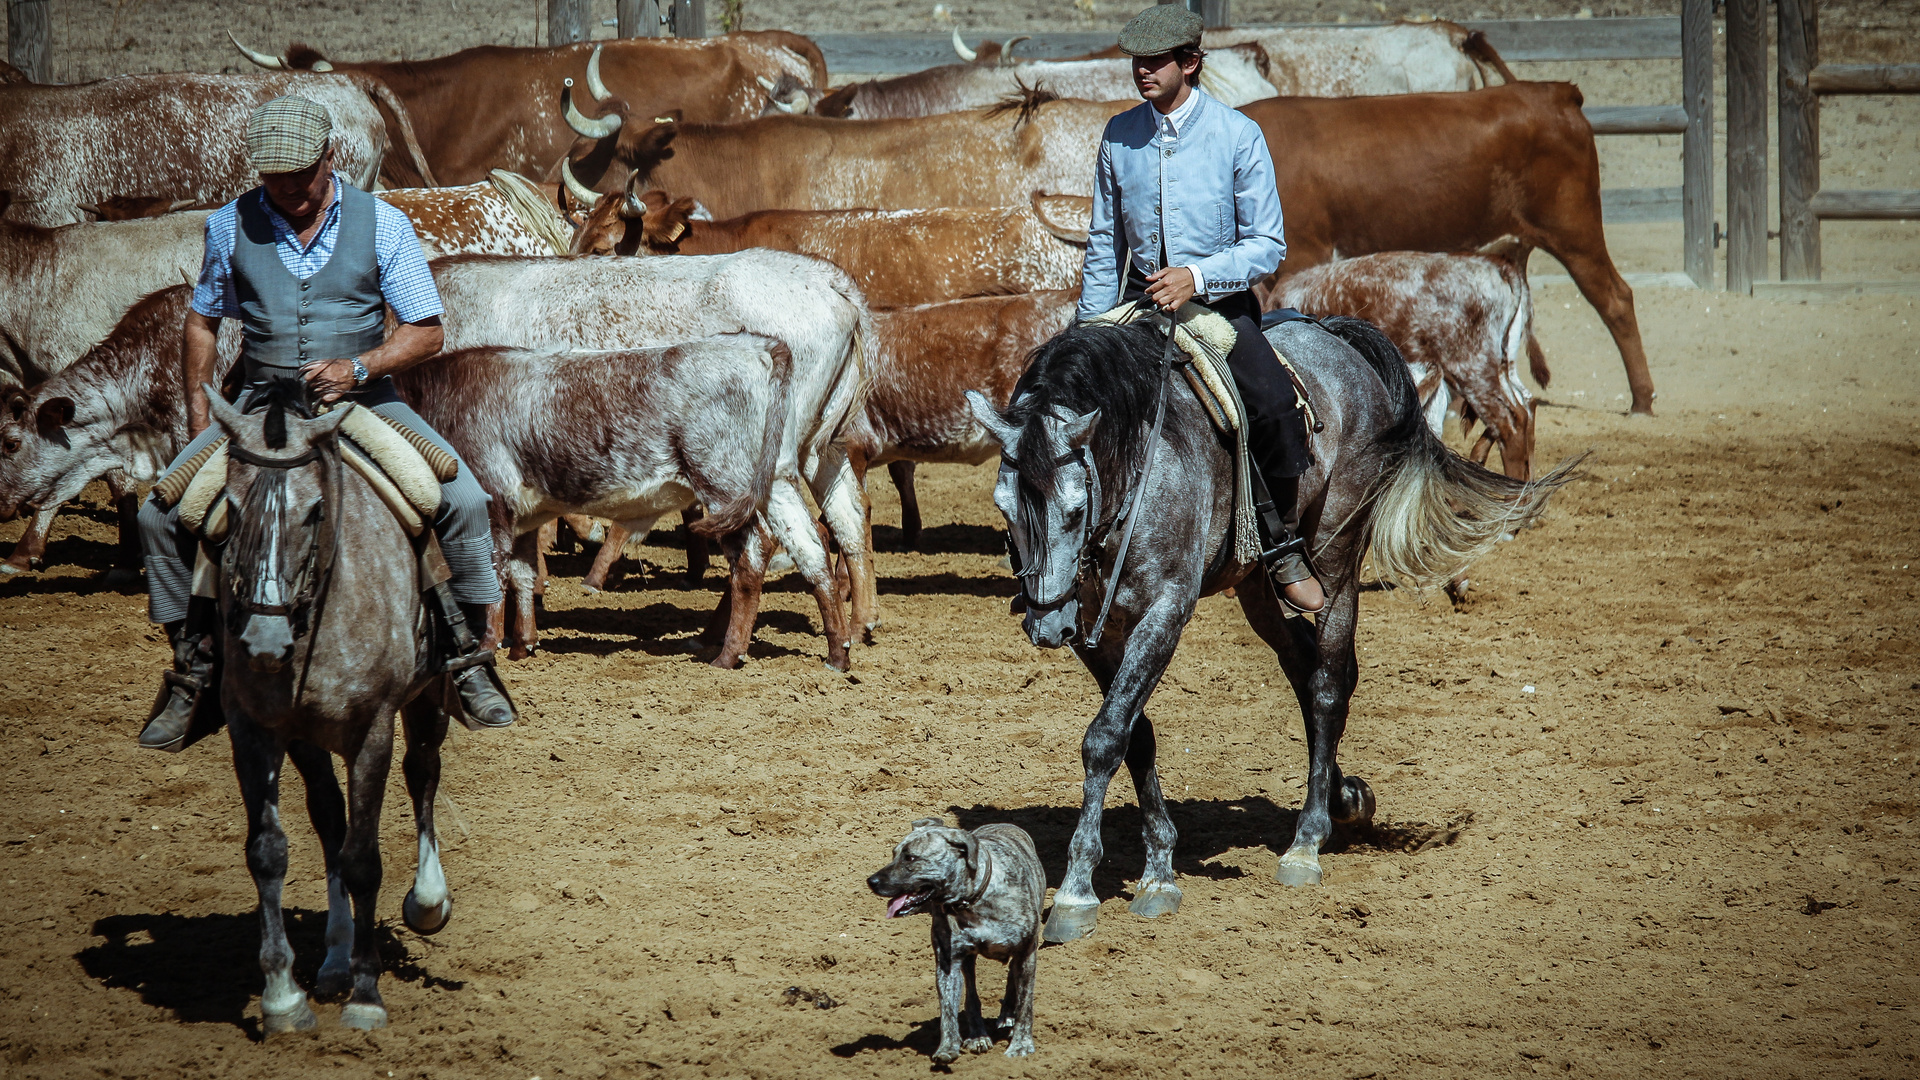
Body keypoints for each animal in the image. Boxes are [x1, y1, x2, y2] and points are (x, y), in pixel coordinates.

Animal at [209, 382, 464, 1030]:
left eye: (315, 510)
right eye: (232, 509)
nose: (264, 643)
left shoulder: (372, 730)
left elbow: (363, 858)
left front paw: (367, 995)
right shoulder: (255, 731)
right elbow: (270, 852)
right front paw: (282, 996)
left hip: (429, 697)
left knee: (422, 772)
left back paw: (428, 902)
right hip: (307, 739)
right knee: (329, 816)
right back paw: (332, 960)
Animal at [867, 814, 1044, 1060]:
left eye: (910, 857)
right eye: (894, 853)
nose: (871, 881)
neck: (973, 900)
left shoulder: (1026, 952)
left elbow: (1025, 1003)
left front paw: (1020, 1044)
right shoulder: (948, 960)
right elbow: (948, 1008)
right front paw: (948, 1046)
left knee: (1012, 982)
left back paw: (1007, 1015)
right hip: (967, 961)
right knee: (971, 994)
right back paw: (978, 1035)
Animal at [960, 315, 1574, 937]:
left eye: (1073, 509)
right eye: (1004, 507)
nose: (1045, 625)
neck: (1136, 467)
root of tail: (1336, 337)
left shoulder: (1165, 612)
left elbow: (1106, 738)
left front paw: (1076, 892)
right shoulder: (1098, 637)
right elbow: (1136, 737)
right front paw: (1159, 870)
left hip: (1336, 556)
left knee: (1327, 684)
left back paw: (1307, 842)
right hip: (1255, 584)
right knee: (1304, 663)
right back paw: (1344, 798)